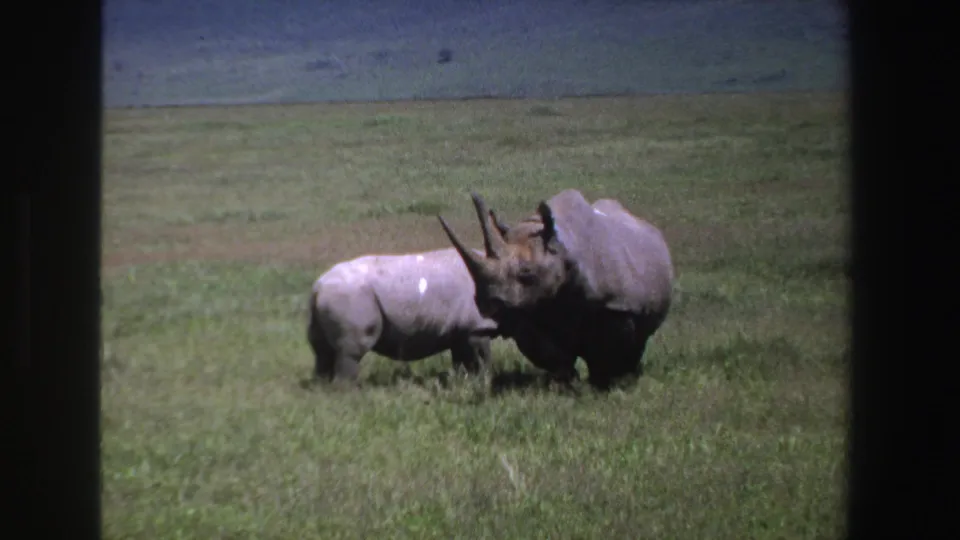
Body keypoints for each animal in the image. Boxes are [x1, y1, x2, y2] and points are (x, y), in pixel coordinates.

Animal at [307, 247, 501, 384]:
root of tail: (318, 287)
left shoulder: (462, 332)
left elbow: (463, 362)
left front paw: (464, 382)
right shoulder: (476, 327)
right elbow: (482, 359)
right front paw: (483, 382)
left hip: (332, 298)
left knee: (321, 350)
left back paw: (322, 387)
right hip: (349, 296)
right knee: (350, 351)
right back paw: (349, 391)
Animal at [437, 189, 674, 390]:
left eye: (527, 273)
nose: (487, 303)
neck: (562, 251)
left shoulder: (618, 305)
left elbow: (612, 347)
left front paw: (610, 383)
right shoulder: (528, 309)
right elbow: (550, 353)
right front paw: (565, 384)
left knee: (640, 337)